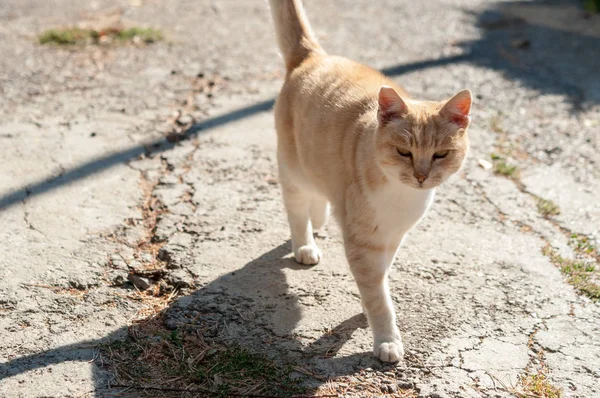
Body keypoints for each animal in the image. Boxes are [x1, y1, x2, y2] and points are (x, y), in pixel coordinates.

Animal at [270, 0, 472, 362]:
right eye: (404, 152)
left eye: (440, 154)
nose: (421, 175)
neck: (402, 196)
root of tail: (315, 56)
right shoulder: (363, 242)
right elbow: (378, 295)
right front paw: (386, 339)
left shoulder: (393, 237)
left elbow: (381, 277)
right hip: (294, 169)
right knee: (296, 209)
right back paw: (305, 244)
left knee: (321, 196)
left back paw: (321, 218)